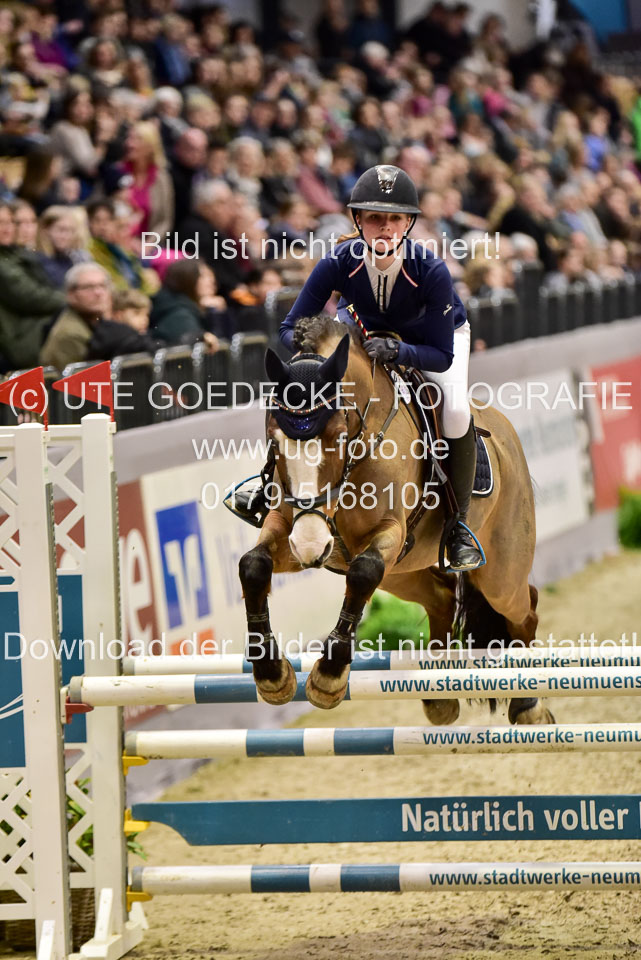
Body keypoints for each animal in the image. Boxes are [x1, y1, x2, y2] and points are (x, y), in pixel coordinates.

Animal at [238, 314, 553, 727]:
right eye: (274, 439)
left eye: (338, 435)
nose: (310, 547)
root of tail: (506, 434)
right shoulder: (291, 526)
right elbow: (253, 565)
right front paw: (272, 675)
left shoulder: (387, 533)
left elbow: (363, 573)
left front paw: (328, 677)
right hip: (403, 574)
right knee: (441, 598)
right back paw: (439, 697)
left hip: (499, 572)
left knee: (524, 608)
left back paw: (527, 703)